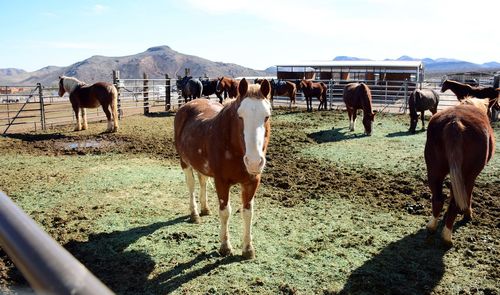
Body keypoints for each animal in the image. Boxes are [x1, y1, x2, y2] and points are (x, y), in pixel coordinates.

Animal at [174, 78, 272, 260]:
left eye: (267, 116)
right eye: (240, 116)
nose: (254, 162)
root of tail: (187, 104)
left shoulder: (252, 182)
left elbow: (248, 212)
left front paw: (248, 249)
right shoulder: (221, 182)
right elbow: (225, 212)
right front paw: (225, 247)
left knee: (203, 181)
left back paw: (205, 209)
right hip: (185, 162)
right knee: (191, 185)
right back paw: (195, 214)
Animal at [424, 98, 494, 246]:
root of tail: (455, 121)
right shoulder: (470, 177)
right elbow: (467, 196)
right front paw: (467, 213)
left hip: (434, 171)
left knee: (438, 199)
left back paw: (432, 226)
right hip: (467, 175)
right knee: (455, 203)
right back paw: (447, 236)